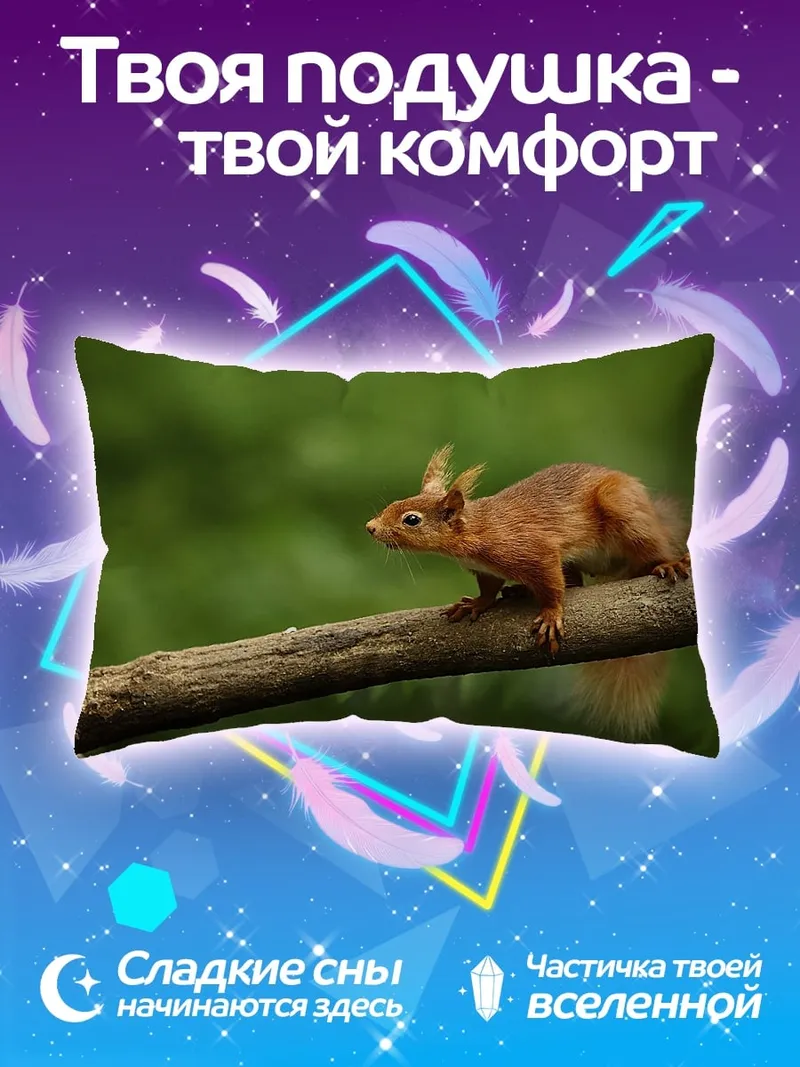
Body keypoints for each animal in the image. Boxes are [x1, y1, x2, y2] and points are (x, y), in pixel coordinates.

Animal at [365, 445, 691, 741]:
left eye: (412, 519)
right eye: (396, 502)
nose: (370, 527)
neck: (477, 530)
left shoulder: (535, 550)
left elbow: (553, 586)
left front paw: (551, 614)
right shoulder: (486, 570)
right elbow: (489, 589)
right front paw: (476, 604)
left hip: (624, 512)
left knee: (648, 548)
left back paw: (668, 562)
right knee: (575, 580)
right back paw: (520, 591)